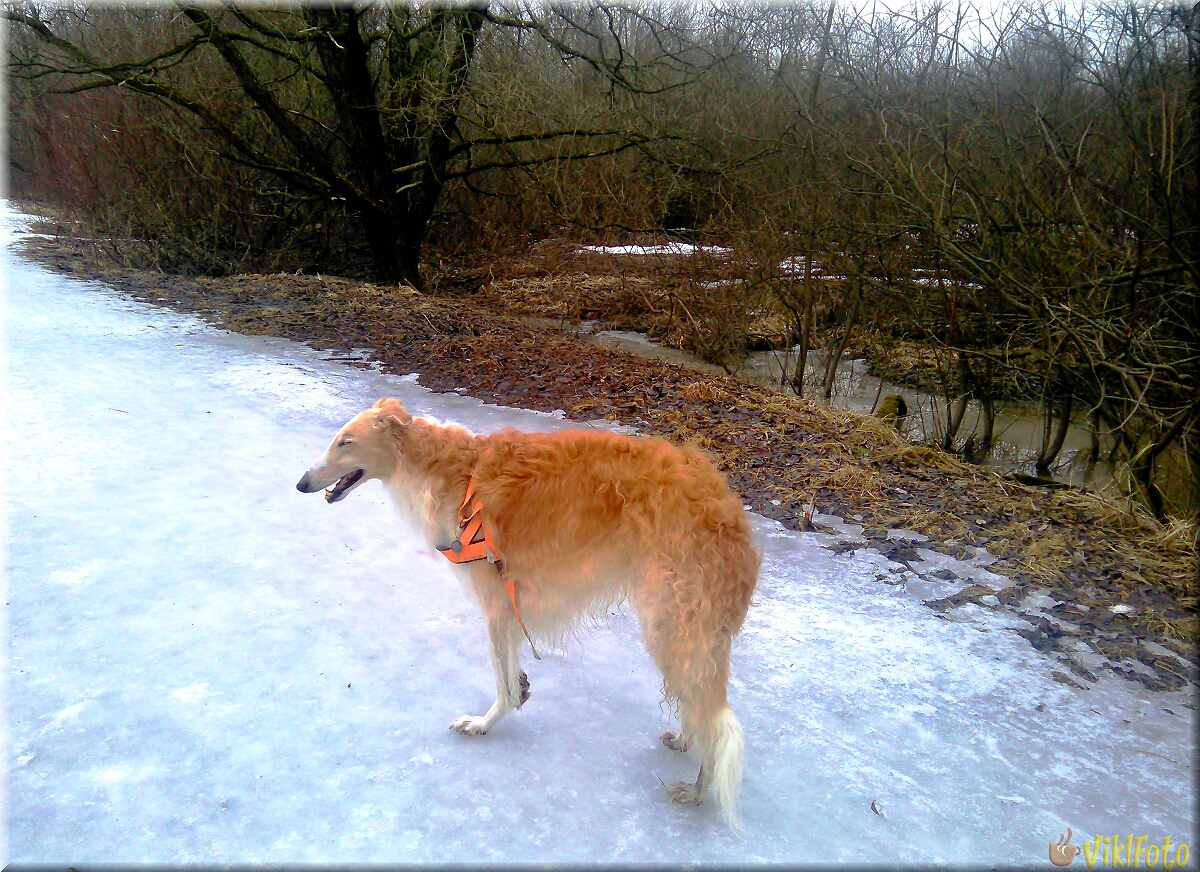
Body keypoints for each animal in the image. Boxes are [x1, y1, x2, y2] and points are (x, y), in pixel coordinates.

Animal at [294, 398, 753, 830]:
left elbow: (504, 686)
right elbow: (514, 678)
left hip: (671, 624)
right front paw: (519, 692)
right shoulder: (509, 606)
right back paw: (685, 741)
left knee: (714, 722)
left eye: (345, 442)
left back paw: (698, 789)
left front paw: (482, 724)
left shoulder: (497, 604)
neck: (451, 474)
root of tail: (729, 510)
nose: (301, 484)